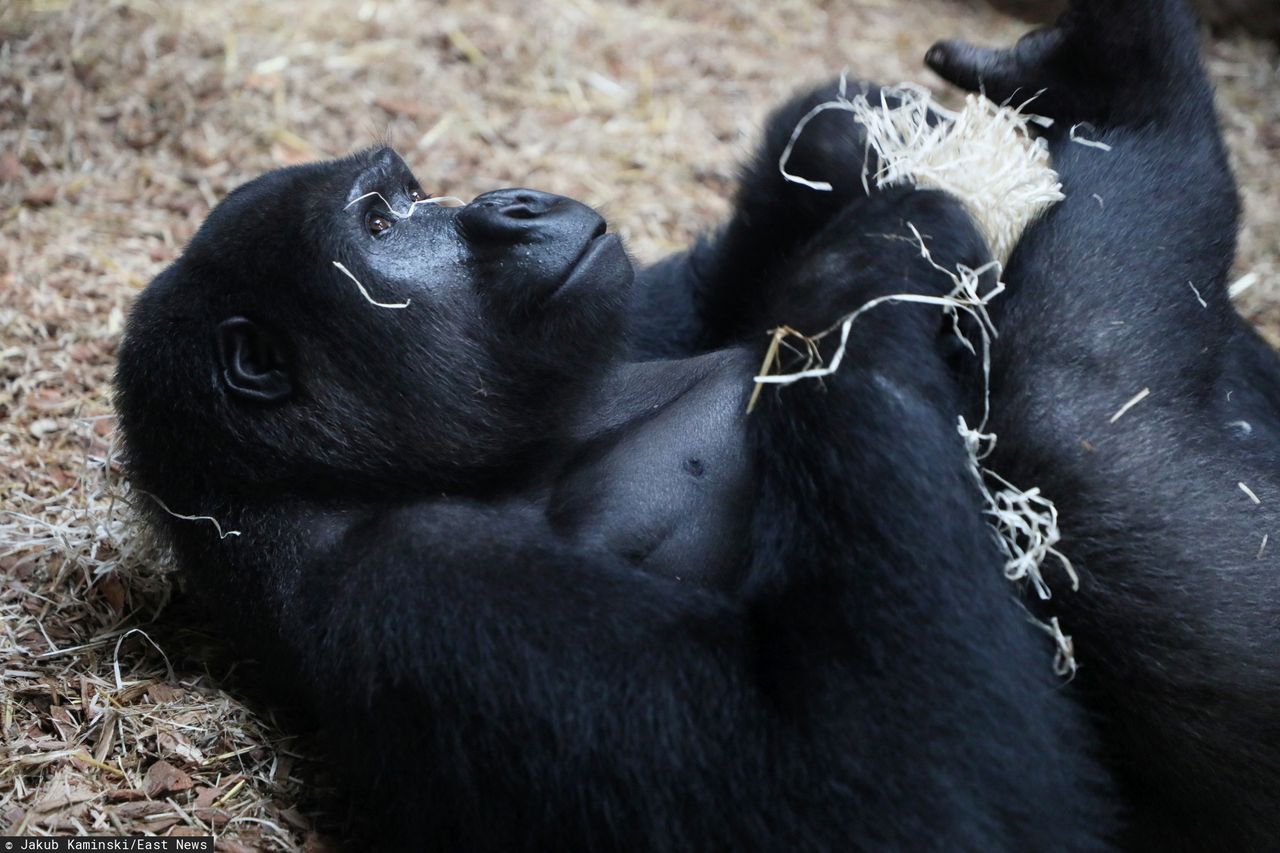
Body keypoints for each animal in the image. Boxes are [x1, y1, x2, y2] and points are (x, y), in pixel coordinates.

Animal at [112, 1, 1280, 845]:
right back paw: (1143, 107)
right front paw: (859, 270)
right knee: (1070, 417)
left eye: (410, 194)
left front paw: (840, 137)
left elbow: (722, 283)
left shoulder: (626, 314)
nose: (511, 202)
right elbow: (904, 785)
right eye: (381, 221)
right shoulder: (405, 585)